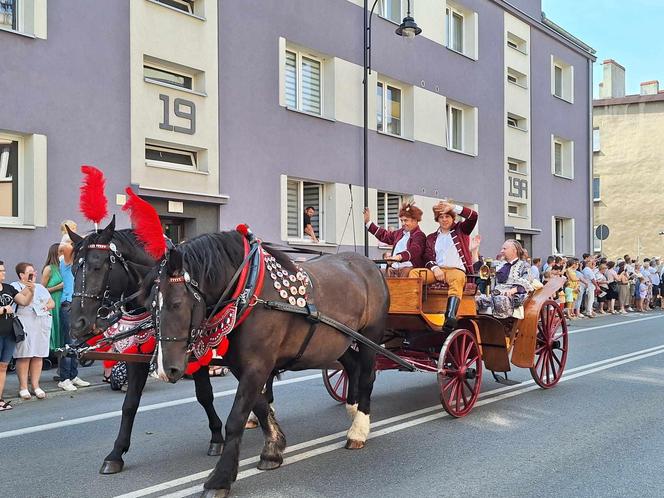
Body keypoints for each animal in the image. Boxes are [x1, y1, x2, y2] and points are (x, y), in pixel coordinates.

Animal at [67, 219, 228, 474]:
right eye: (73, 269)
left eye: (97, 267)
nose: (77, 324)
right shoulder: (138, 357)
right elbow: (130, 403)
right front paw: (116, 453)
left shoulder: (196, 352)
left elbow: (204, 394)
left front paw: (217, 438)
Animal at [152, 231, 390, 496]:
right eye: (153, 305)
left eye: (176, 304)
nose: (164, 370)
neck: (249, 291)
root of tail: (369, 264)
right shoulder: (244, 366)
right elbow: (260, 406)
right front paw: (274, 449)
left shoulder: (258, 365)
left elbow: (236, 418)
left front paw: (220, 478)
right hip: (339, 341)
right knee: (352, 367)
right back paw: (353, 408)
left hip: (370, 337)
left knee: (367, 375)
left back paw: (359, 429)